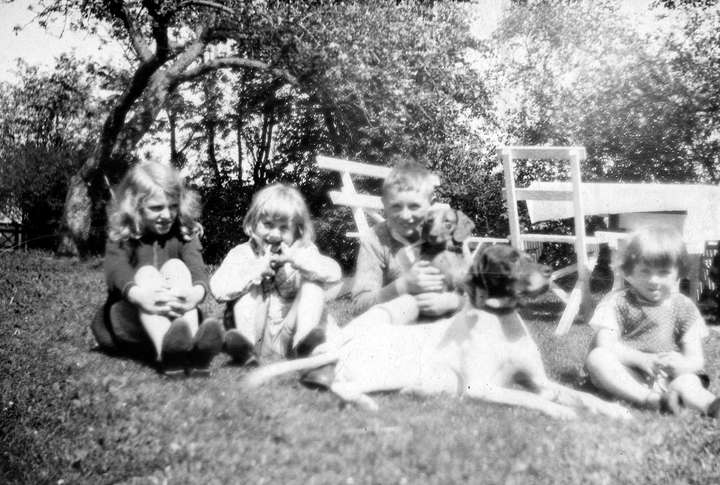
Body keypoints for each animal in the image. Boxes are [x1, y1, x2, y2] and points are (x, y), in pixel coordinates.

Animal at [242, 245, 632, 420]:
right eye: (508, 260)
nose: (549, 272)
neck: (501, 322)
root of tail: (345, 346)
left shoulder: (539, 381)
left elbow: (577, 395)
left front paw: (613, 409)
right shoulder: (483, 388)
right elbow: (532, 399)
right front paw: (562, 413)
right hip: (387, 370)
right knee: (340, 385)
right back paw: (366, 401)